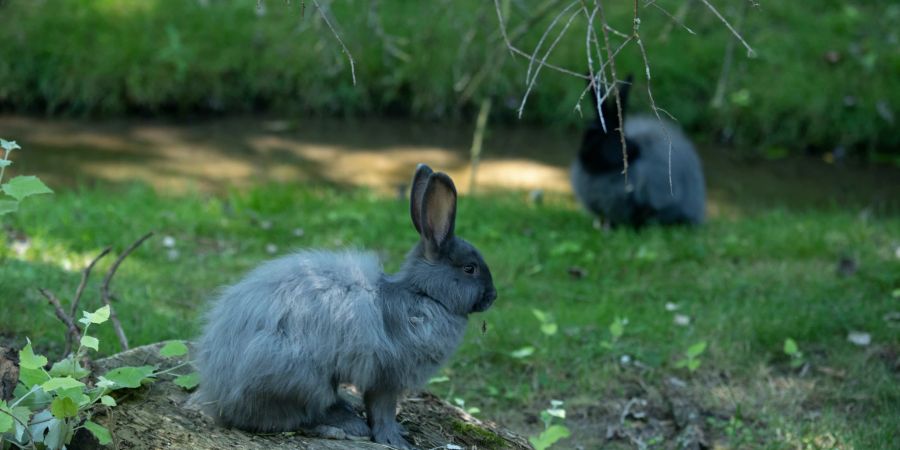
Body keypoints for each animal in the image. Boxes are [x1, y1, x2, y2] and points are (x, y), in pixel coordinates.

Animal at [192, 165, 496, 450]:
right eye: (470, 268)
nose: (493, 296)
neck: (423, 294)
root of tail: (218, 394)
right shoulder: (387, 377)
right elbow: (382, 411)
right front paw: (395, 439)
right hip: (299, 377)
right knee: (291, 416)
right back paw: (343, 426)